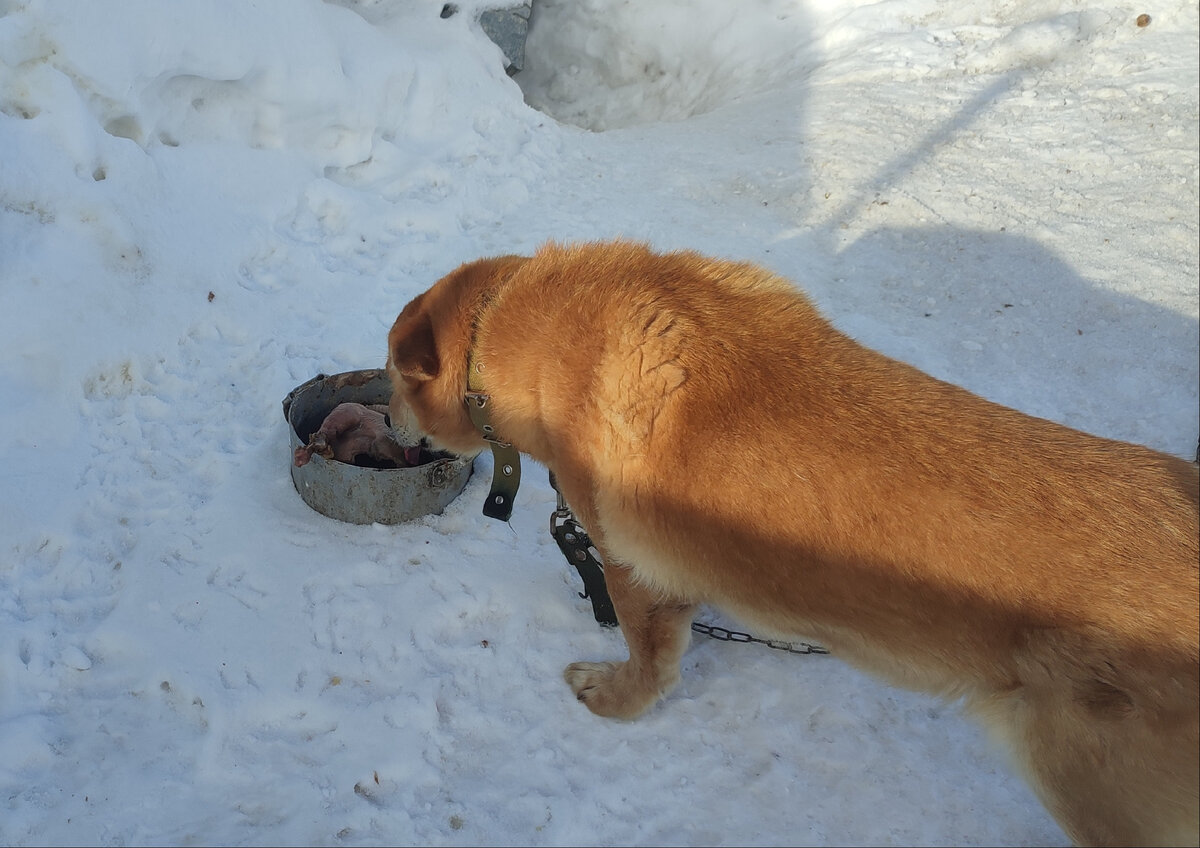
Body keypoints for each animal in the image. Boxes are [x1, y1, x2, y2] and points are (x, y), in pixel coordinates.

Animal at [388, 241, 1195, 848]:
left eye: (394, 381)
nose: (391, 425)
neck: (514, 325)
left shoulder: (631, 569)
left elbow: (649, 659)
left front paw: (617, 700)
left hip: (1088, 785)